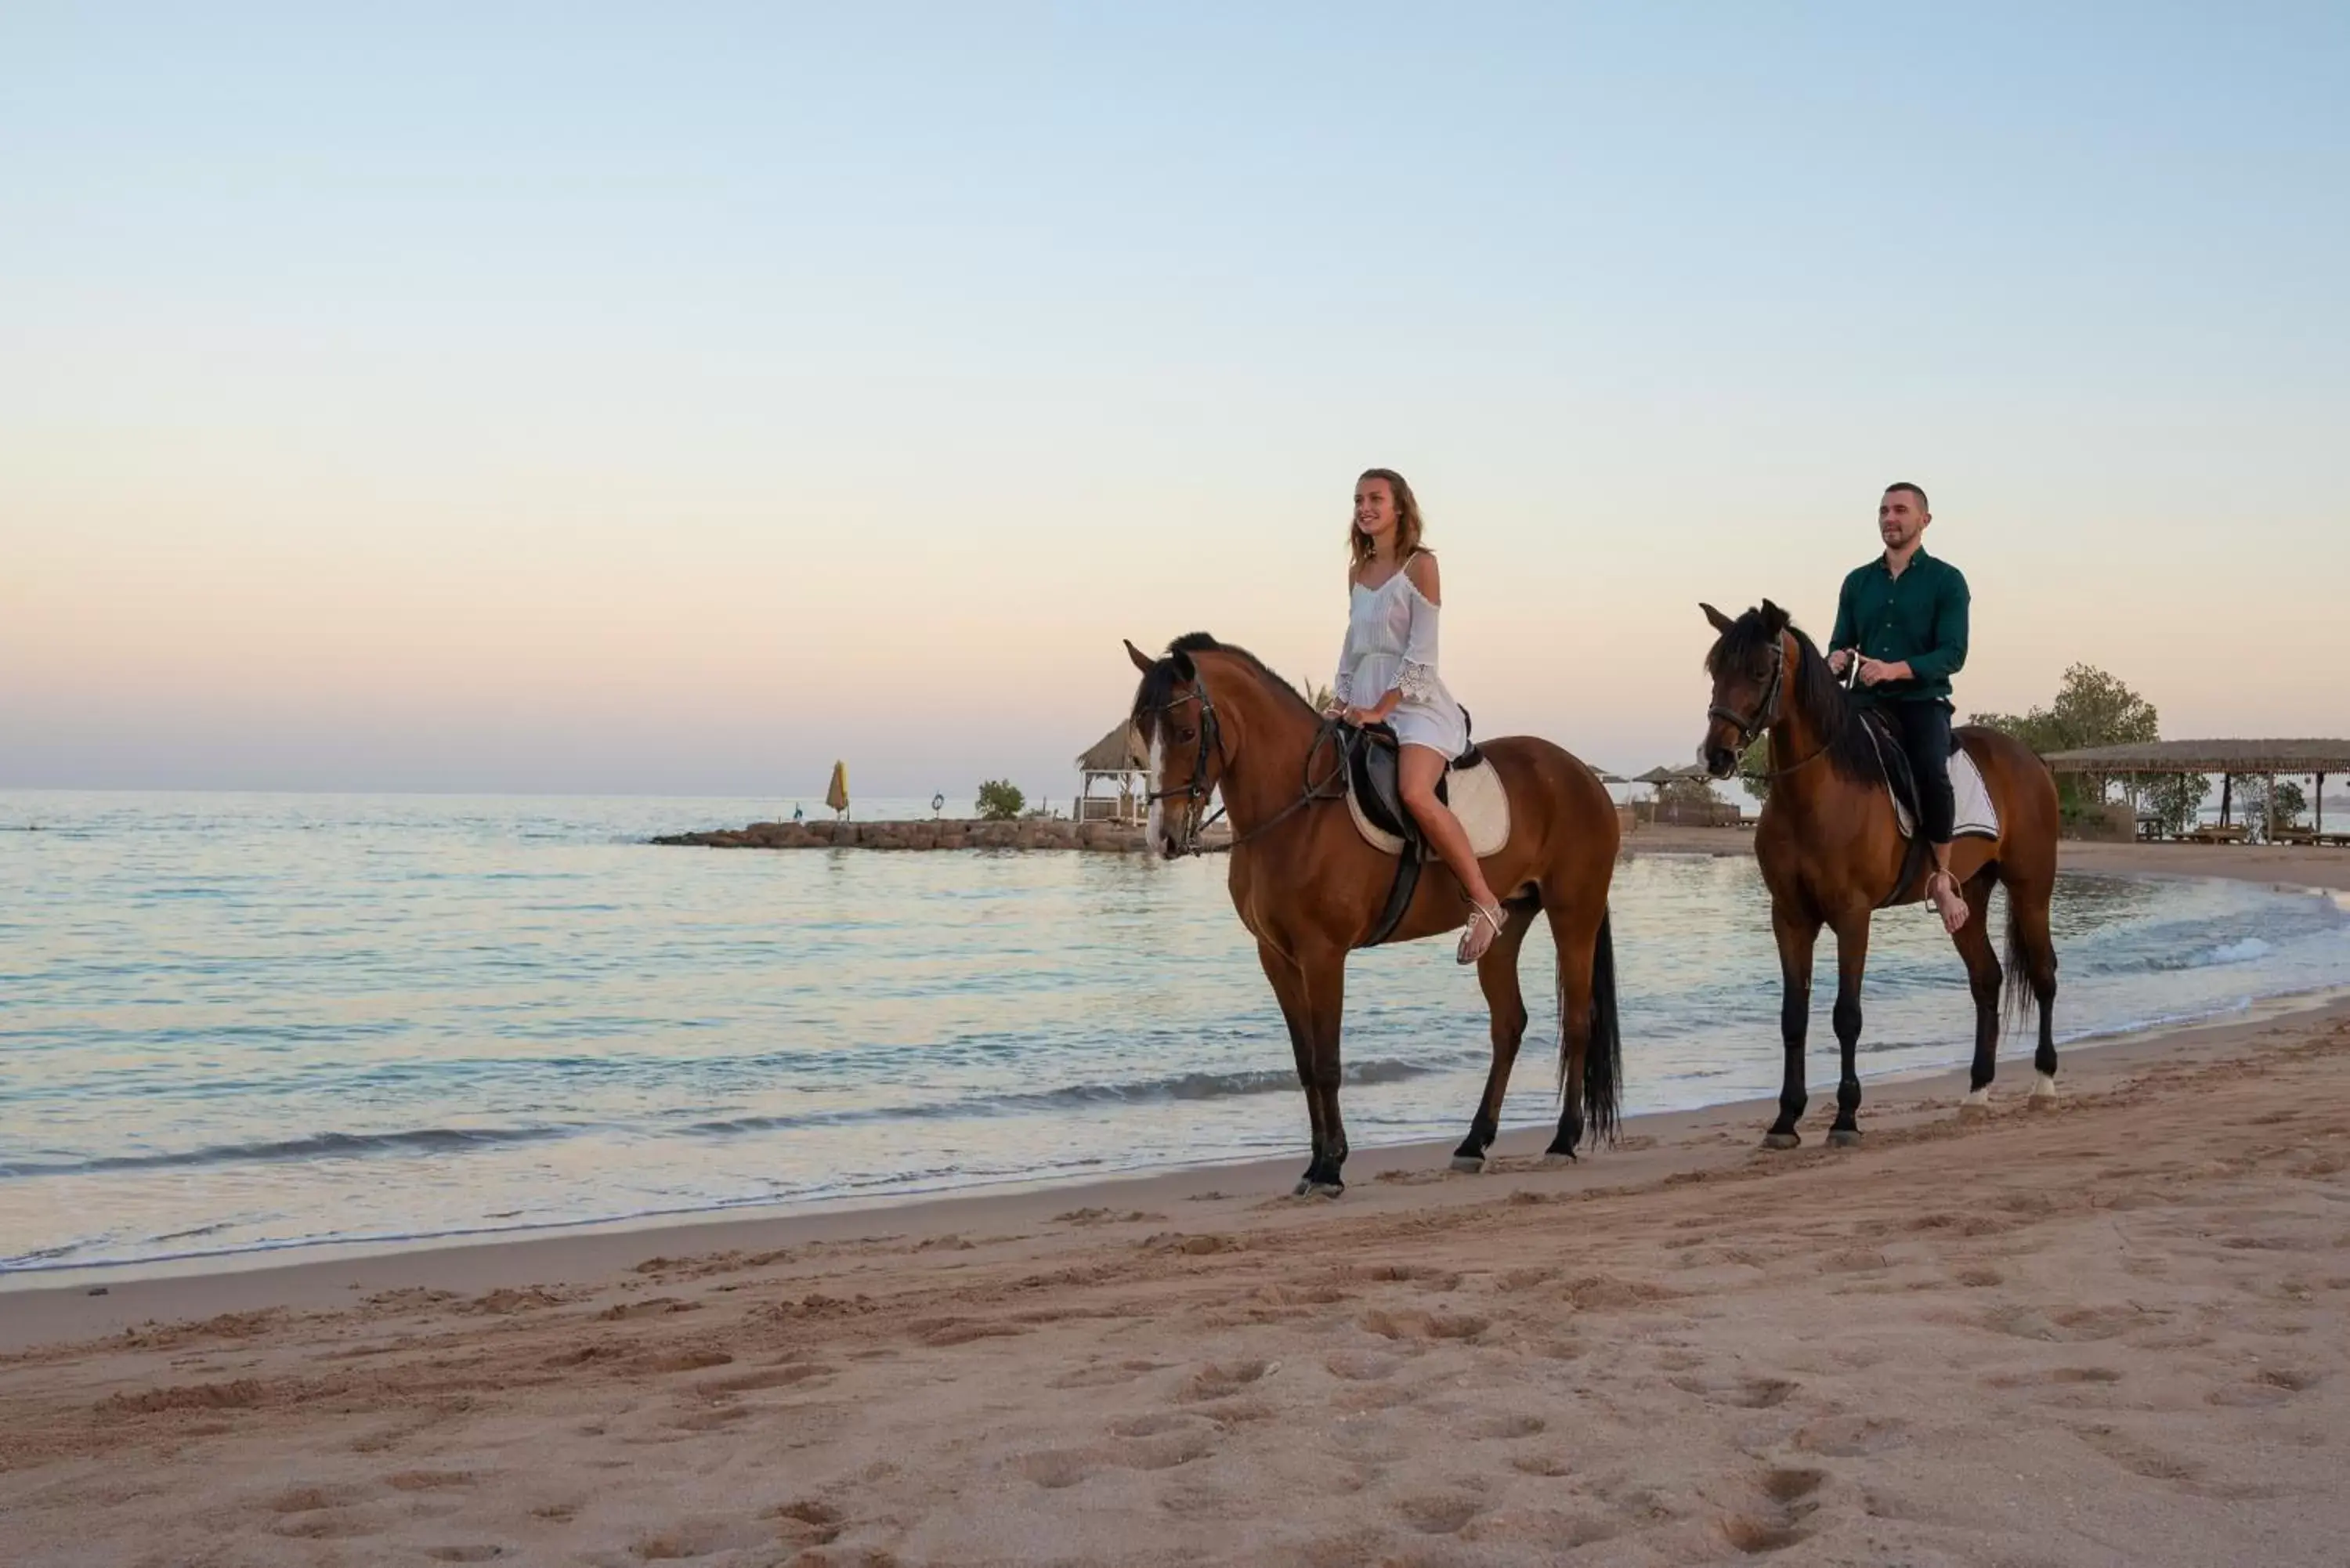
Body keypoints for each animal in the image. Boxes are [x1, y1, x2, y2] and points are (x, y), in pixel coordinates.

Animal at [1128, 630, 1626, 1194]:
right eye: (1142, 732)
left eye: (1187, 732)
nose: (1162, 837)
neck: (1300, 808)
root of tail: (1582, 775)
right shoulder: (1276, 957)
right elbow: (1305, 1062)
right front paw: (1315, 1163)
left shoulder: (1323, 954)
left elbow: (1327, 1062)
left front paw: (1330, 1168)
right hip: (1506, 923)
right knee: (1508, 1025)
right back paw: (1473, 1143)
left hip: (1574, 914)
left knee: (1579, 1022)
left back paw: (1562, 1140)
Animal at [1701, 602, 2068, 1151]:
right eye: (1715, 670)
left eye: (1761, 672)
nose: (1716, 755)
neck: (1816, 791)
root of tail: (2031, 760)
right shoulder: (1789, 917)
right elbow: (1793, 1018)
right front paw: (1785, 1120)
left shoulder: (1853, 916)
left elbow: (1846, 1016)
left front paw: (1846, 1118)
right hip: (1969, 895)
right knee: (1986, 980)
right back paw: (1977, 1092)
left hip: (2031, 889)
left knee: (2044, 974)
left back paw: (2044, 1084)